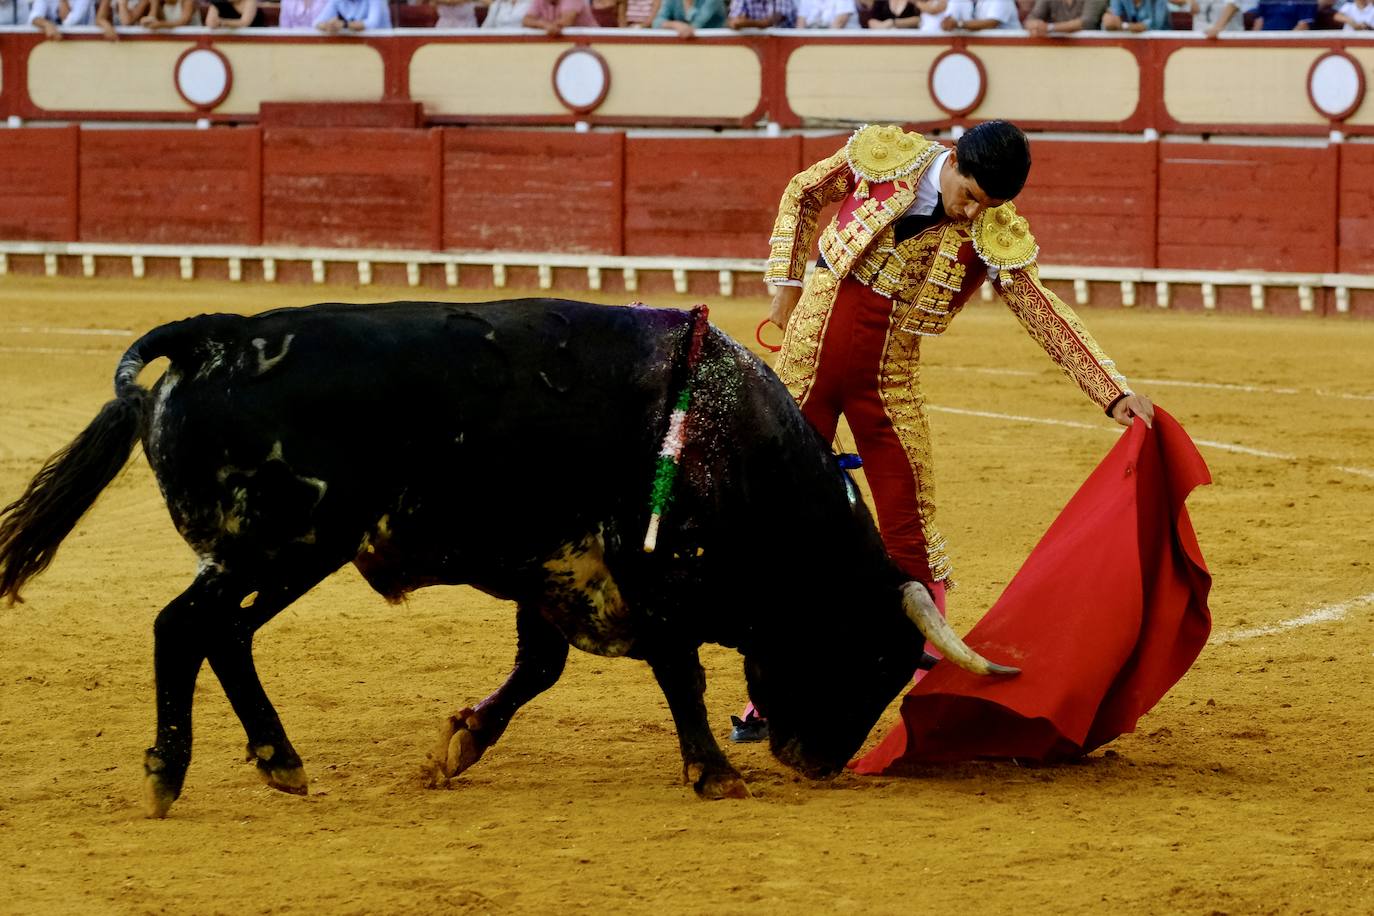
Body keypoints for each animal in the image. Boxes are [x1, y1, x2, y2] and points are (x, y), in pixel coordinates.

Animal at [0, 299, 1011, 818]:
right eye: (873, 657)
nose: (818, 762)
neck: (736, 448)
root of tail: (215, 336)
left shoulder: (554, 572)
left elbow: (537, 670)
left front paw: (459, 744)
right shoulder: (647, 578)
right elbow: (679, 673)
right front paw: (714, 773)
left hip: (293, 554)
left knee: (226, 636)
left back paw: (280, 759)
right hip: (283, 542)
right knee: (184, 626)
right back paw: (169, 773)